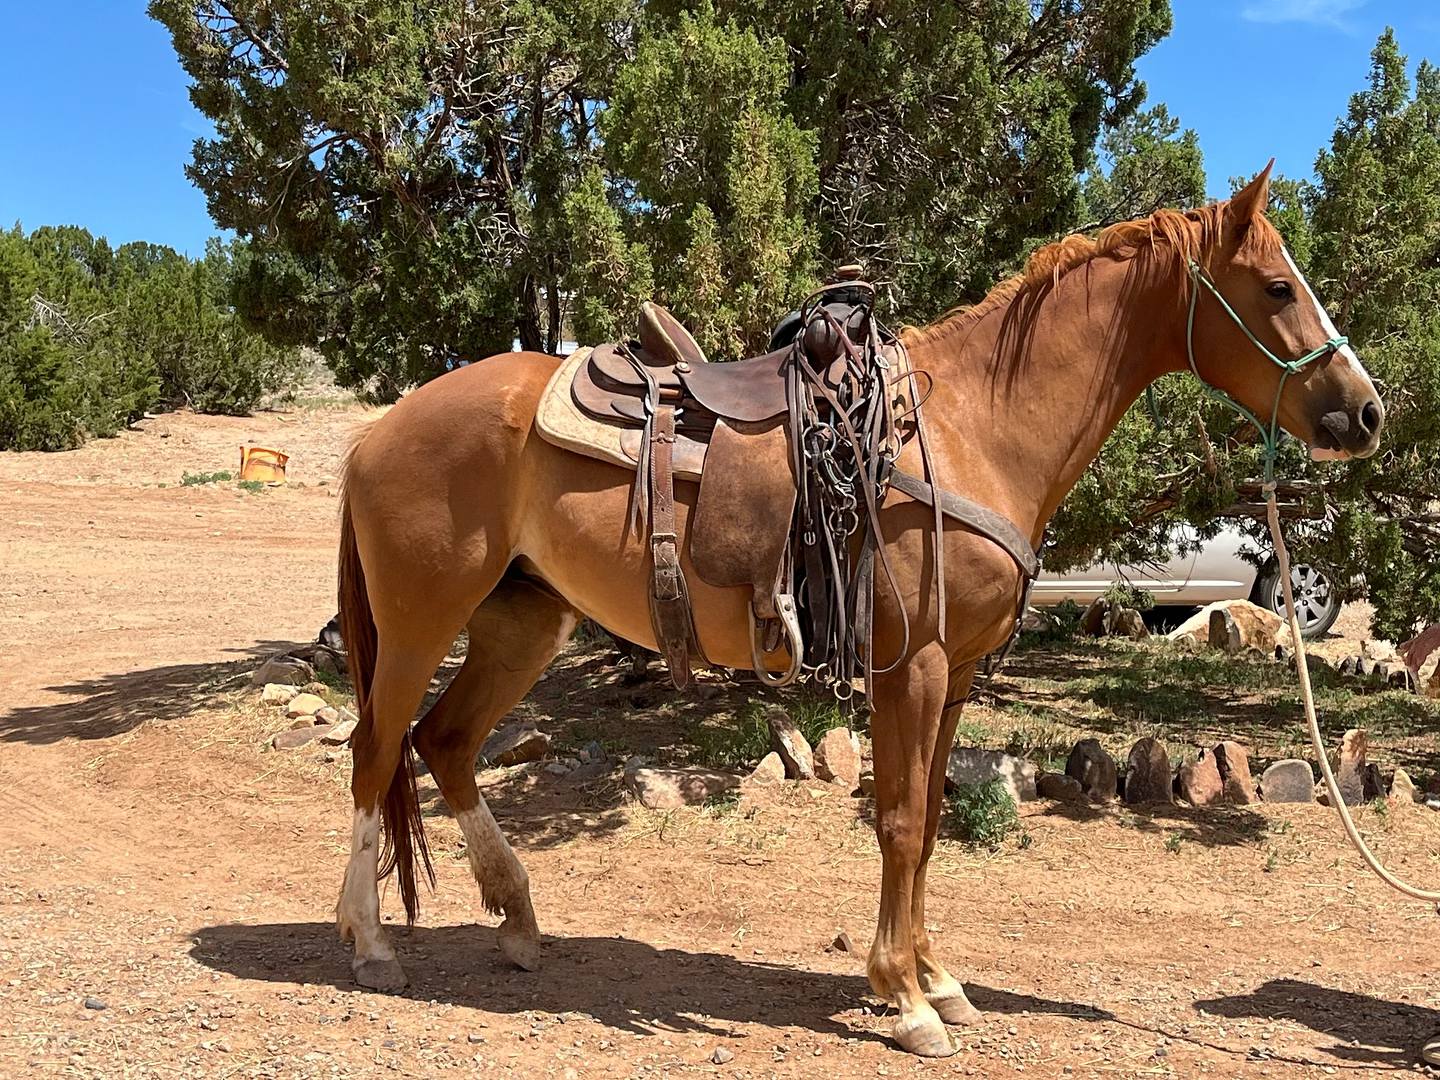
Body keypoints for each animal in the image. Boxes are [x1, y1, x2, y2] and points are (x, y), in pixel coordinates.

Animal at [332, 165, 1383, 1057]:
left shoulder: (953, 676)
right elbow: (903, 822)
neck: (972, 428)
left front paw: (933, 975)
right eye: (1277, 288)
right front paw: (907, 998)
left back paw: (515, 919)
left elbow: (928, 818)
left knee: (446, 744)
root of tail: (378, 432)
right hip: (423, 621)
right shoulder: (909, 666)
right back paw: (370, 944)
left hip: (521, 622)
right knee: (378, 750)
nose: (1368, 412)